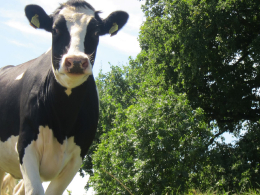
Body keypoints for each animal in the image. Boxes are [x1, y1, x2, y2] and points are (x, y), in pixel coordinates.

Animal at [0, 0, 128, 194]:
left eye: (96, 31)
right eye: (55, 30)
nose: (75, 61)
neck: (63, 116)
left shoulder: (78, 155)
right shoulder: (25, 144)